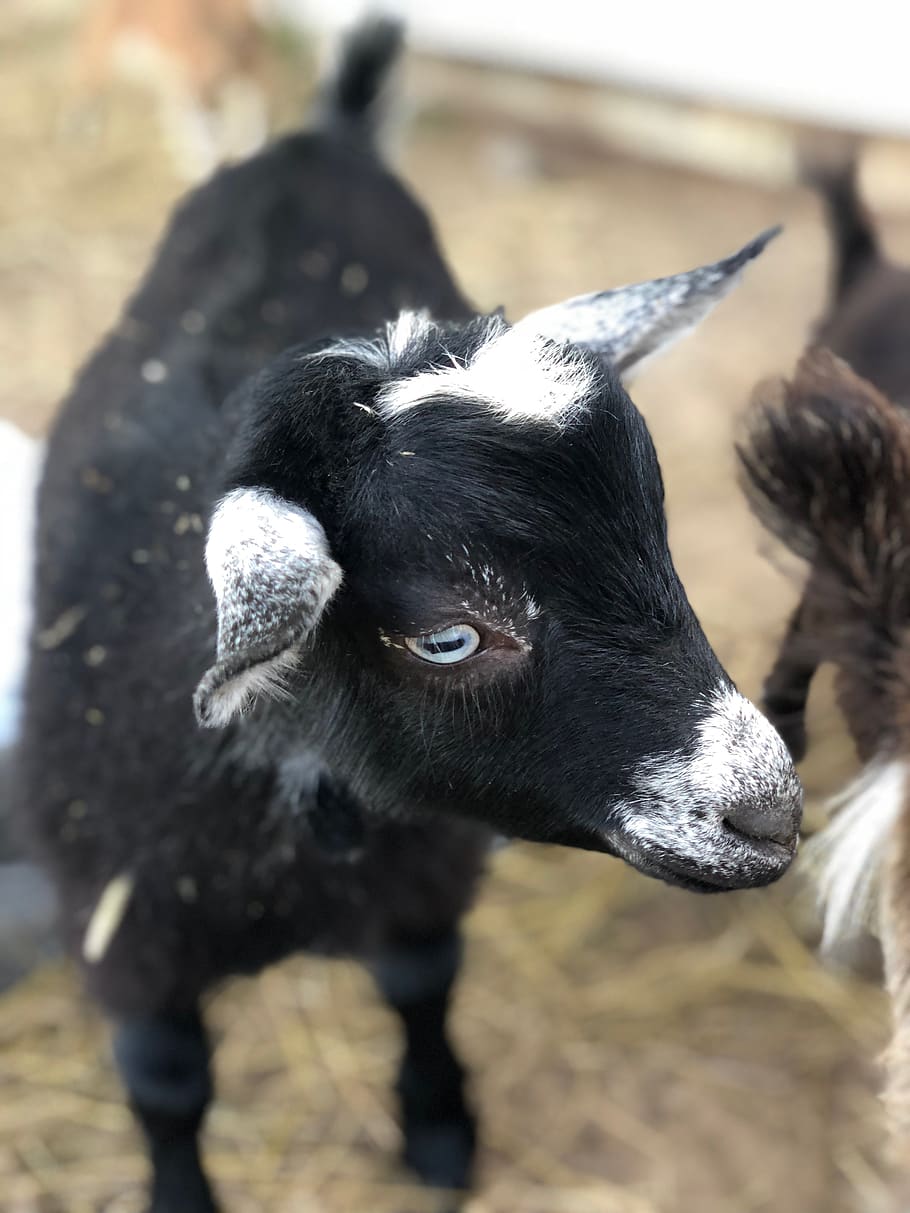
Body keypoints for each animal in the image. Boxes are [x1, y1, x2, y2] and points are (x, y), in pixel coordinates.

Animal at [17, 18, 800, 1212]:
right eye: (448, 635)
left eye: (657, 542)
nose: (771, 814)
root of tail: (323, 136)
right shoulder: (122, 924)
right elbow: (166, 1083)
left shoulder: (424, 867)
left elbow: (422, 984)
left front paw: (439, 1130)